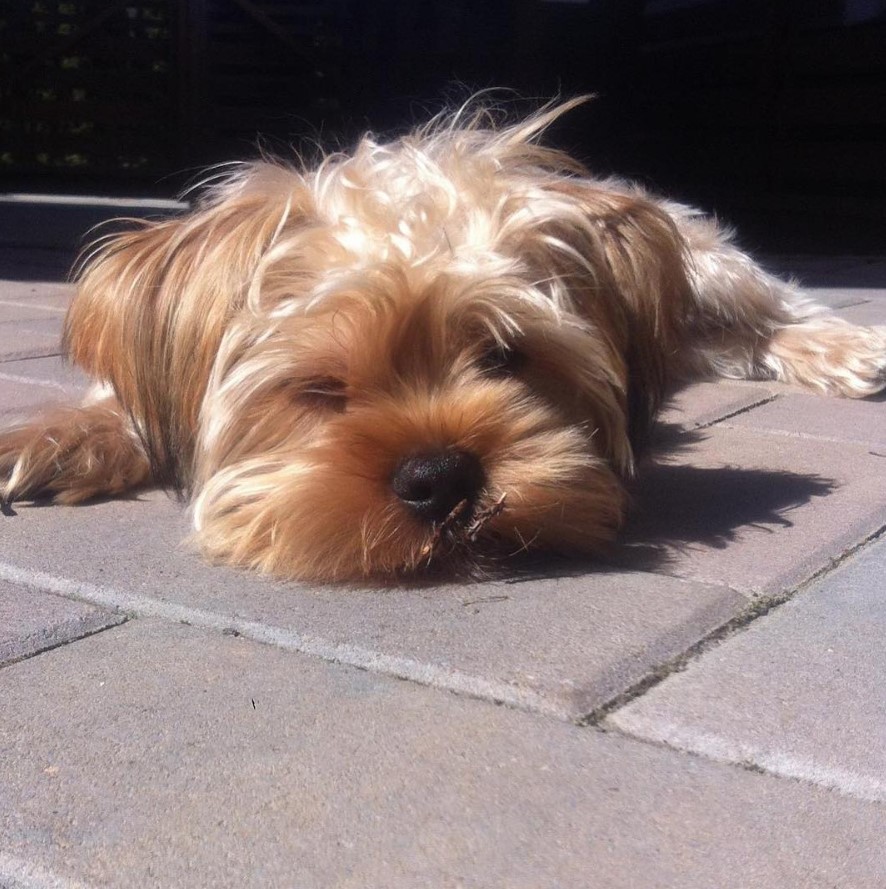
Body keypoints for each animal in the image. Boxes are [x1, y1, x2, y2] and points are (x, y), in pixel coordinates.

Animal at [1, 99, 886, 584]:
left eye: (505, 357)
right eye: (321, 389)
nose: (441, 476)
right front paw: (58, 438)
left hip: (708, 262)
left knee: (770, 306)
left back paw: (846, 348)